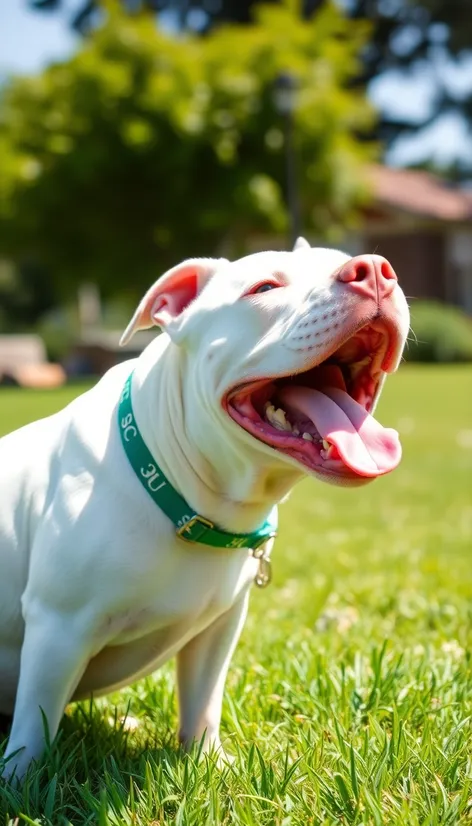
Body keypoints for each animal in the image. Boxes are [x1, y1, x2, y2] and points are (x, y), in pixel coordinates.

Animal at [0, 238, 410, 780]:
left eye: (346, 258)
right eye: (264, 287)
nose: (375, 271)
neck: (188, 492)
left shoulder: (219, 626)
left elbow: (202, 699)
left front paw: (206, 760)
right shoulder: (57, 626)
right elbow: (34, 721)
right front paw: (18, 783)